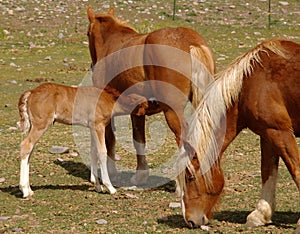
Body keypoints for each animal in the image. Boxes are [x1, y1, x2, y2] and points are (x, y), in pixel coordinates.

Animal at [18, 82, 147, 197]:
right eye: (145, 104)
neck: (107, 99)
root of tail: (31, 92)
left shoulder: (92, 128)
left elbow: (93, 152)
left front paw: (97, 186)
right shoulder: (98, 126)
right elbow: (102, 152)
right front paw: (110, 187)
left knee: (30, 150)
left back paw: (29, 189)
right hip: (41, 124)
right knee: (26, 145)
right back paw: (25, 190)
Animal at [86, 5, 216, 185]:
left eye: (87, 34)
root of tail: (190, 41)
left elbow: (110, 139)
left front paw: (112, 173)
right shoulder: (137, 112)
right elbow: (139, 140)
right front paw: (141, 174)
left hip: (172, 111)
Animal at [178, 39, 300, 228]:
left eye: (190, 178)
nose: (189, 220)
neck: (250, 83)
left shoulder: (280, 133)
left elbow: (296, 170)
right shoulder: (267, 134)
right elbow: (268, 170)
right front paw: (260, 214)